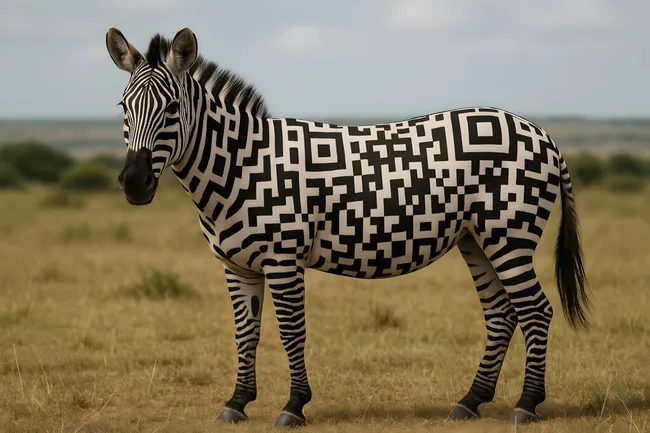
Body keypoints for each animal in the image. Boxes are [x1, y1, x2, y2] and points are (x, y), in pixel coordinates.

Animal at [106, 27, 591, 426]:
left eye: (171, 108)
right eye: (123, 107)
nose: (134, 183)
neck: (240, 166)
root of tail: (542, 134)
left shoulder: (282, 259)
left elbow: (290, 332)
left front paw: (293, 406)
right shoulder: (236, 265)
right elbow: (246, 333)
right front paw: (237, 402)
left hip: (510, 237)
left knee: (536, 311)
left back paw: (526, 405)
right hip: (476, 239)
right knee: (501, 313)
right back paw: (471, 400)